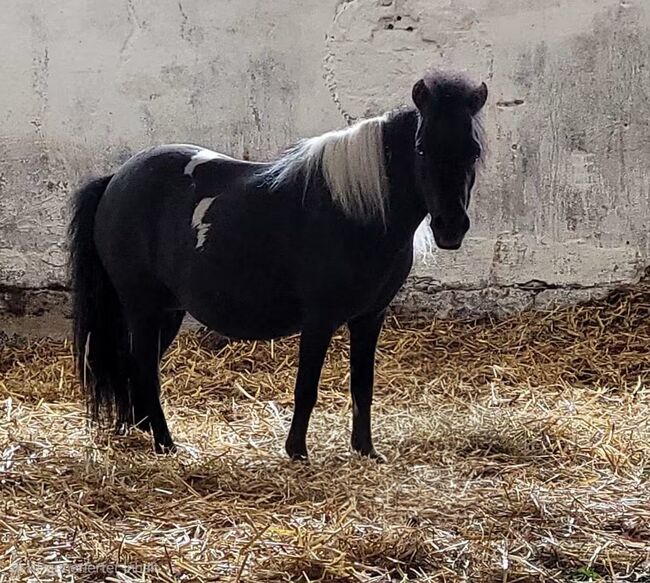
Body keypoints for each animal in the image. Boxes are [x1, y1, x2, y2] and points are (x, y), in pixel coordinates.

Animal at [68, 70, 487, 459]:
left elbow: (362, 385)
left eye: (473, 151)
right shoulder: (319, 320)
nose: (451, 227)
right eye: (421, 148)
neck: (356, 212)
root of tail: (115, 180)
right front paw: (297, 451)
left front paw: (365, 450)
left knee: (137, 368)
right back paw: (166, 443)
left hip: (166, 312)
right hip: (143, 308)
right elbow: (307, 388)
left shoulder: (369, 318)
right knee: (143, 370)